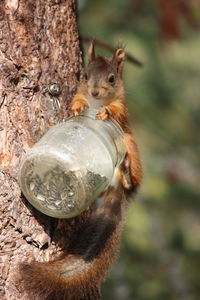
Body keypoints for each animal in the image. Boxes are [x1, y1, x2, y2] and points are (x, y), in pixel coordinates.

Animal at [19, 40, 142, 300]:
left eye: (112, 78)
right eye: (85, 75)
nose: (94, 93)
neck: (95, 104)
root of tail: (118, 188)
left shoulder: (122, 108)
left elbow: (116, 109)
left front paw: (105, 112)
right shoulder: (80, 92)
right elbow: (76, 99)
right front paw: (79, 106)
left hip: (129, 144)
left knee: (132, 174)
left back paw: (127, 172)